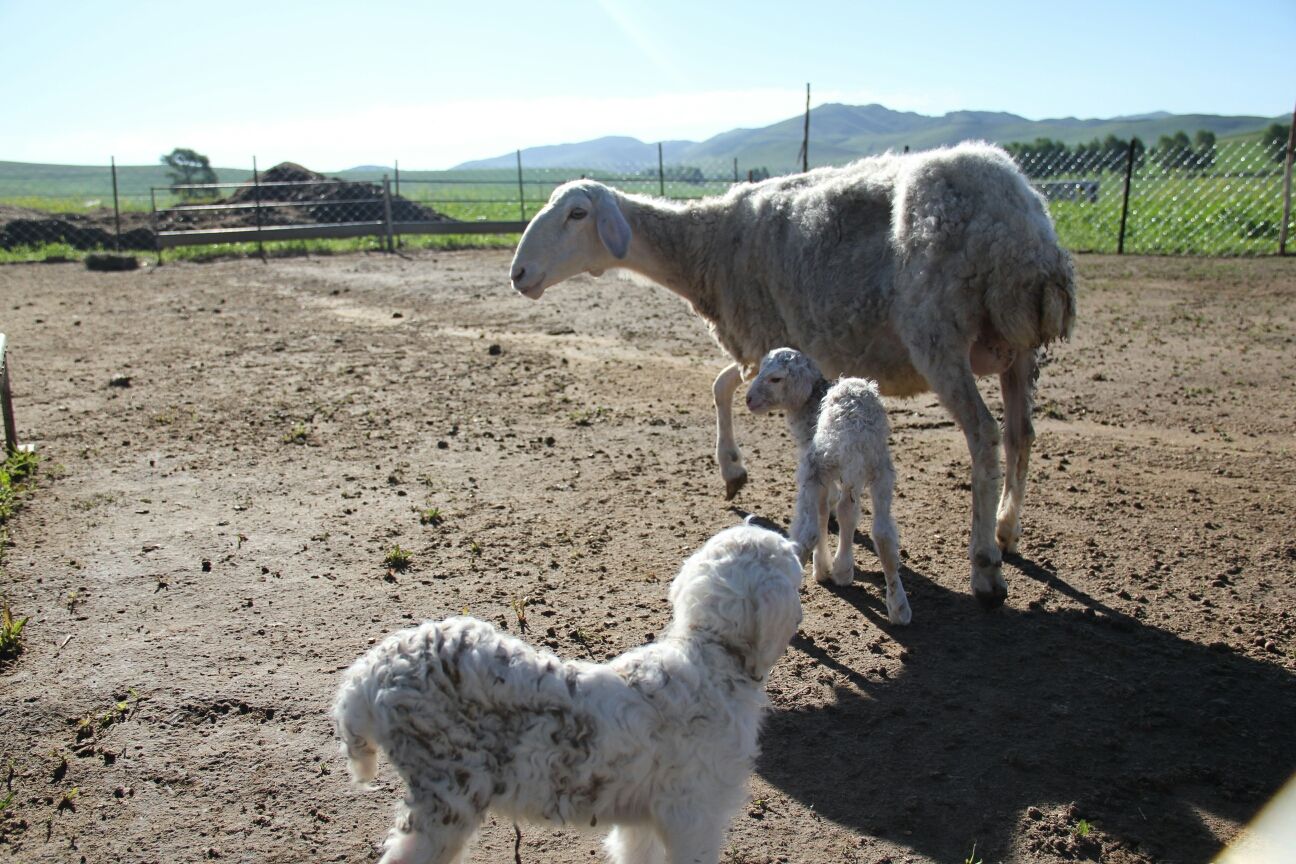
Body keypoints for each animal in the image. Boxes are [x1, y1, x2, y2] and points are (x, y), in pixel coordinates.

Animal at [334, 520, 798, 864]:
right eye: (792, 564)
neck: (712, 656)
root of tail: (366, 677)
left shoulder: (644, 816)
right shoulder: (692, 808)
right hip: (448, 792)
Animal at [746, 347, 917, 624]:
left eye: (776, 379)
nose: (748, 400)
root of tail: (853, 424)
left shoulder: (824, 475)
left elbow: (825, 513)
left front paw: (824, 569)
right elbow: (846, 514)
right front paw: (842, 569)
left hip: (817, 466)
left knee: (808, 530)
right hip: (880, 468)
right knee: (883, 534)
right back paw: (899, 607)